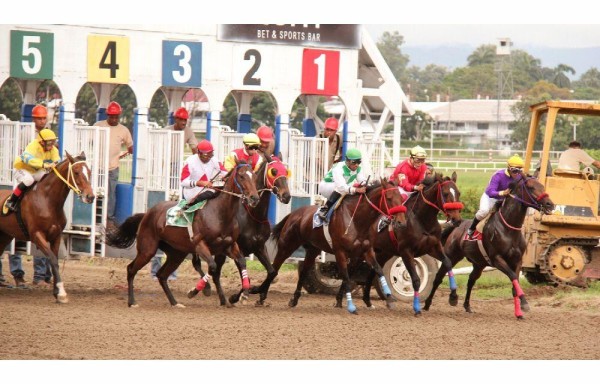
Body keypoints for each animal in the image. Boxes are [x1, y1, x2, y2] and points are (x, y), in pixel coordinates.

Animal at [0, 153, 95, 304]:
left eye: (89, 172)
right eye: (76, 172)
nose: (90, 196)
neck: (48, 201)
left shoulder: (56, 236)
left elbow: (54, 260)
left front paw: (57, 292)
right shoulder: (37, 236)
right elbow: (53, 260)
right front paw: (61, 292)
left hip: (5, 236)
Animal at [105, 164, 258, 308]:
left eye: (254, 176)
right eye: (242, 176)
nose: (254, 198)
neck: (220, 214)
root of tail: (146, 214)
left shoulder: (229, 245)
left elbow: (241, 262)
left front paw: (244, 293)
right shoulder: (200, 244)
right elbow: (213, 267)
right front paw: (195, 291)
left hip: (176, 253)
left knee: (161, 275)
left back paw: (174, 302)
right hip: (147, 249)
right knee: (131, 269)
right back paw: (132, 302)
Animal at [255, 178, 406, 314]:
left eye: (401, 197)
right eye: (389, 198)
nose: (401, 222)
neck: (357, 220)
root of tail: (294, 213)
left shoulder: (366, 251)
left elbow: (378, 270)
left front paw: (389, 296)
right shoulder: (340, 252)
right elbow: (346, 277)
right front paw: (350, 306)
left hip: (313, 249)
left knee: (303, 272)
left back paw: (294, 299)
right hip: (286, 246)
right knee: (274, 268)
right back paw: (261, 296)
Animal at [360, 172, 464, 316]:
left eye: (458, 193)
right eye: (445, 193)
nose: (457, 219)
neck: (422, 220)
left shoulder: (433, 247)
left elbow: (448, 263)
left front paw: (453, 297)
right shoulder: (406, 252)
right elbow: (415, 279)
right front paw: (416, 307)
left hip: (384, 252)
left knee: (373, 271)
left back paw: (369, 300)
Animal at [424, 174, 556, 318]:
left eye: (542, 186)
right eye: (531, 187)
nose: (550, 204)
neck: (509, 229)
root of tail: (456, 226)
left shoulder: (517, 260)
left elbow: (514, 283)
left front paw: (519, 311)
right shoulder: (497, 259)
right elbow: (513, 276)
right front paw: (525, 303)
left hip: (479, 263)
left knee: (471, 280)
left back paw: (467, 306)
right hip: (452, 255)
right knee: (438, 277)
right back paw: (428, 304)